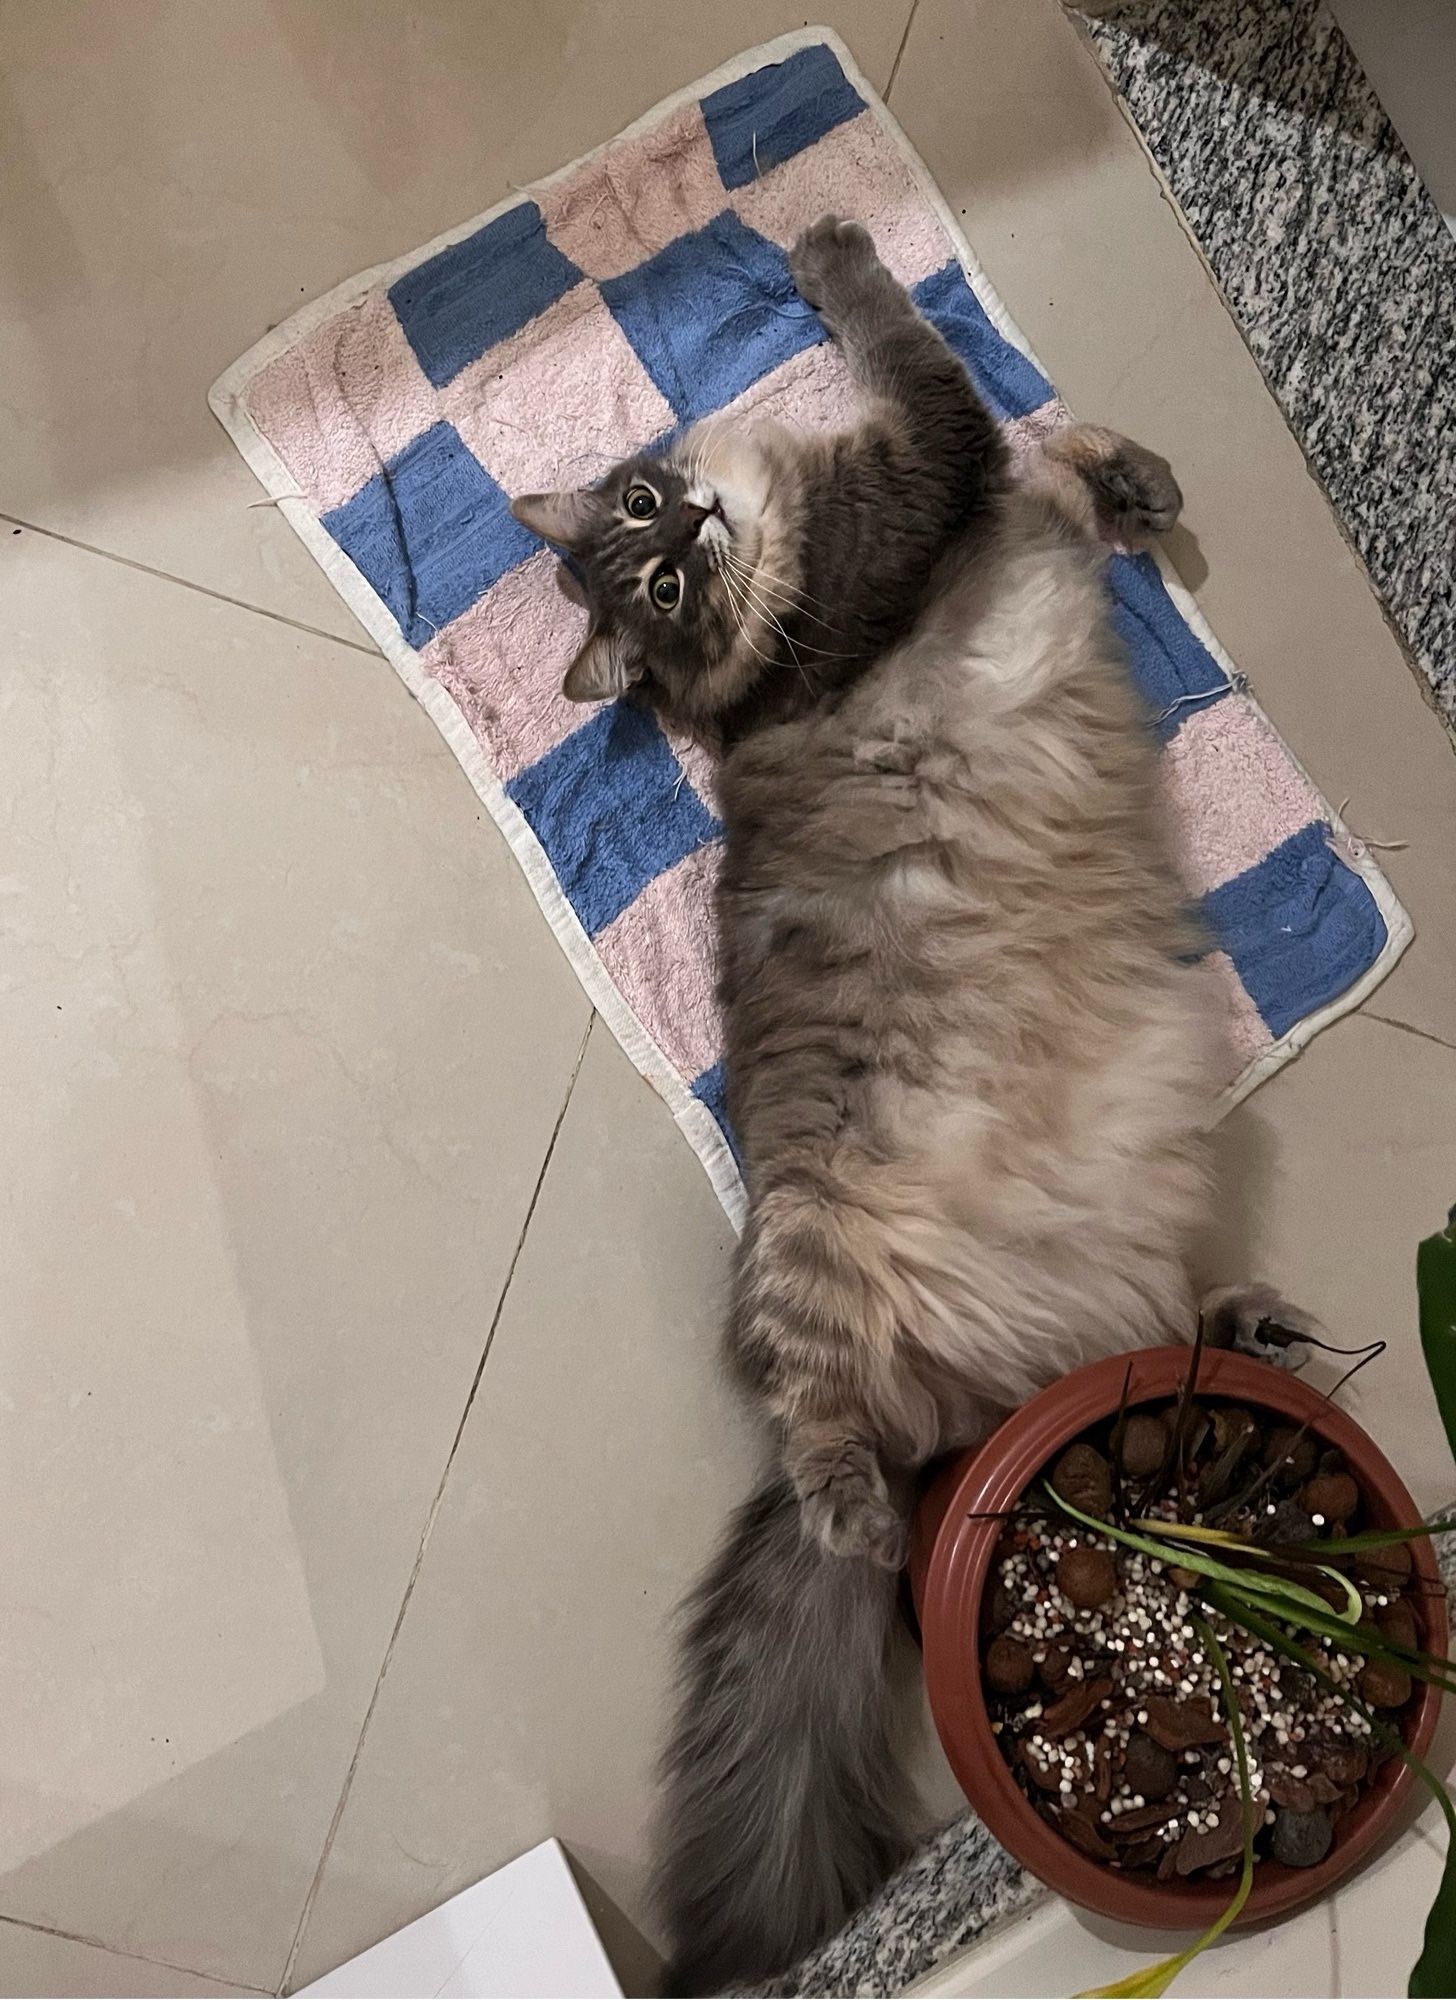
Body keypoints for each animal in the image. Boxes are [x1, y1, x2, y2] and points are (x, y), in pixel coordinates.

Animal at [512, 219, 1232, 2000]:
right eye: (663, 577)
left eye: (649, 515)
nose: (692, 518)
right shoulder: (928, 461)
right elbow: (903, 333)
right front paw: (826, 244)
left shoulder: (958, 480)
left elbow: (1064, 453)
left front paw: (1138, 480)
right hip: (805, 1273)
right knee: (830, 1455)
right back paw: (862, 1528)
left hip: (1086, 1315)